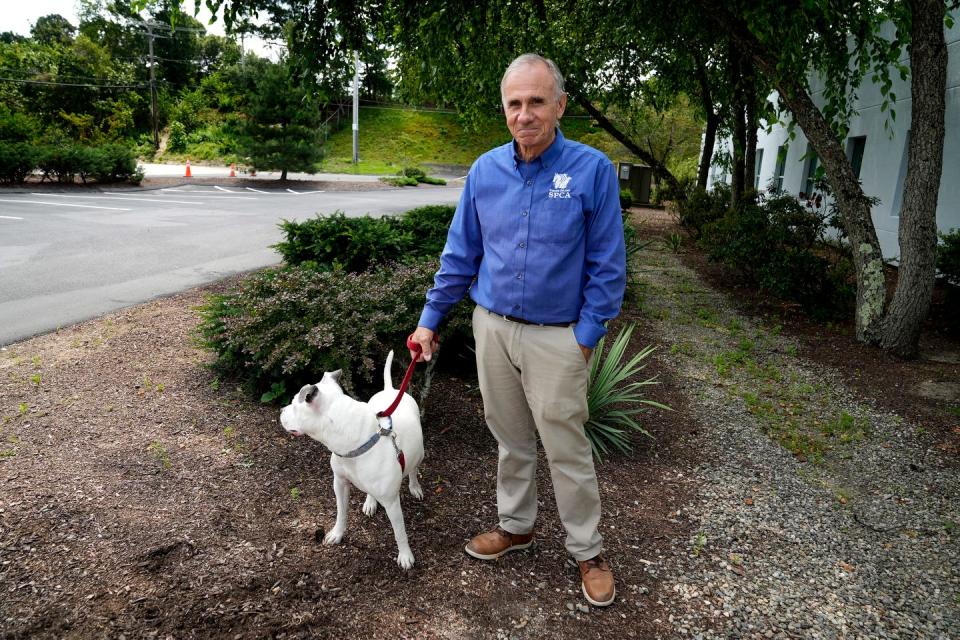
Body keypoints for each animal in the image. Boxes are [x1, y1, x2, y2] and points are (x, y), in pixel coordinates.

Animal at [280, 352, 426, 568]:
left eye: (293, 403)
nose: (281, 410)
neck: (355, 441)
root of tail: (391, 389)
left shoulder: (392, 502)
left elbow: (400, 531)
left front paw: (405, 555)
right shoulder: (339, 483)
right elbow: (341, 512)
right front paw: (337, 534)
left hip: (420, 453)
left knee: (414, 469)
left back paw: (415, 486)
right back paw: (370, 502)